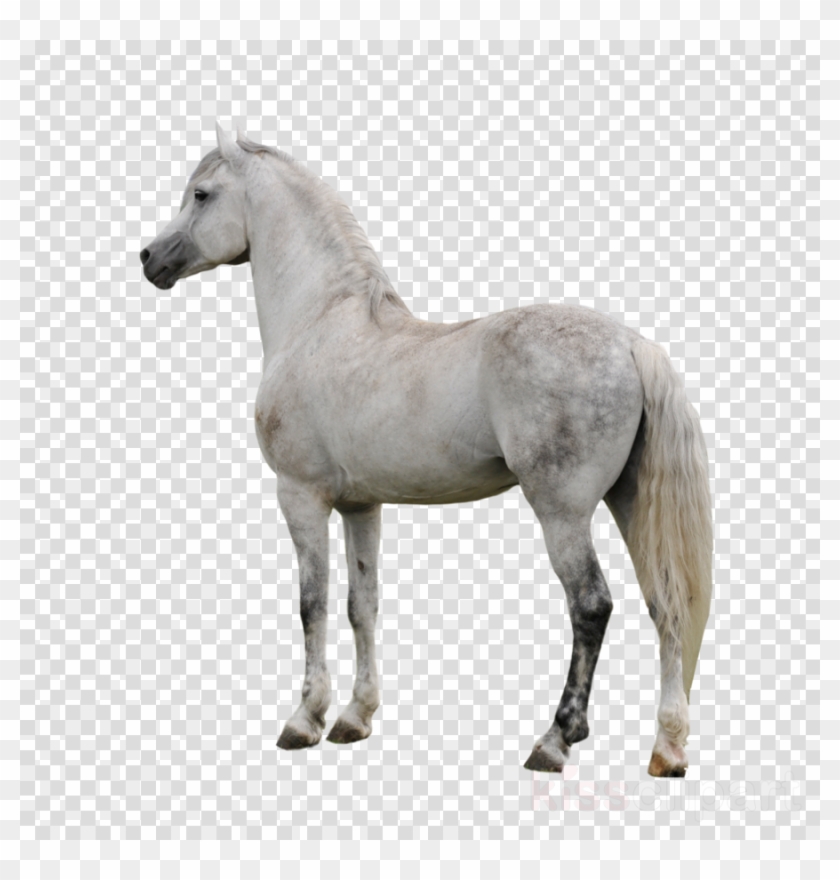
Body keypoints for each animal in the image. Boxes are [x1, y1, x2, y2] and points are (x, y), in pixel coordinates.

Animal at [140, 123, 713, 777]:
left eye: (202, 194)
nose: (149, 259)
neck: (321, 323)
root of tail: (632, 345)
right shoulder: (361, 505)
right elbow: (361, 604)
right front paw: (354, 718)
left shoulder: (301, 496)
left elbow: (312, 604)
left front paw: (304, 719)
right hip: (630, 502)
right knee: (666, 605)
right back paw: (667, 748)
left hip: (562, 512)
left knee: (592, 605)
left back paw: (555, 739)